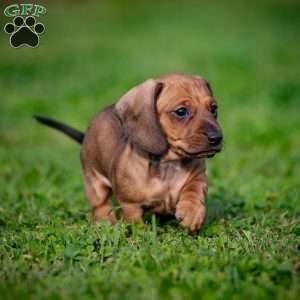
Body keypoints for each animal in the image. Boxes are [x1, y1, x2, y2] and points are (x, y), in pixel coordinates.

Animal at [35, 73, 223, 232]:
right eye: (181, 111)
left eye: (213, 109)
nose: (217, 138)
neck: (169, 164)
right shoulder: (130, 203)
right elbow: (134, 220)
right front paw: (142, 234)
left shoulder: (199, 177)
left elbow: (193, 191)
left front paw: (192, 213)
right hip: (93, 179)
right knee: (100, 205)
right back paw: (106, 224)